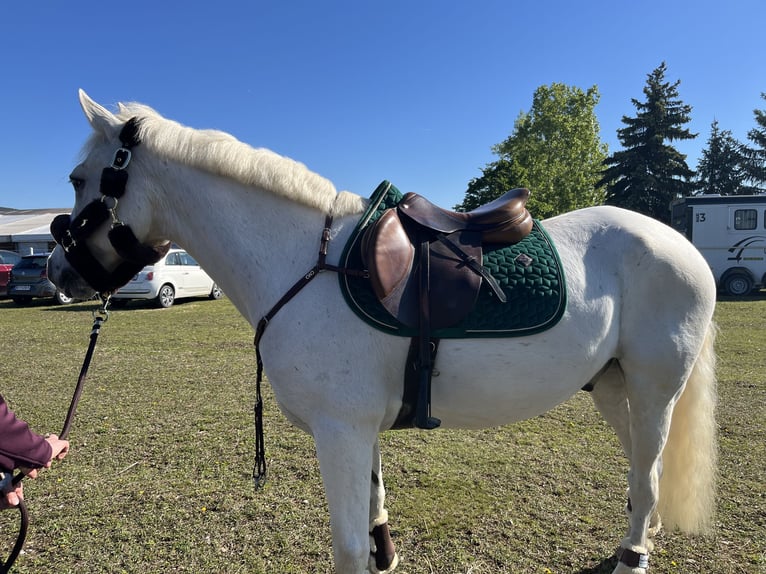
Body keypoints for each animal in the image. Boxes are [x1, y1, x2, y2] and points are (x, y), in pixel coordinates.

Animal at [48, 91, 720, 574]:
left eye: (81, 178)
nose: (57, 271)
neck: (305, 263)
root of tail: (678, 243)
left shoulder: (340, 432)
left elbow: (348, 548)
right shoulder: (362, 430)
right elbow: (374, 527)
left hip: (655, 390)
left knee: (648, 473)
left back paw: (633, 558)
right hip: (612, 385)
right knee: (644, 473)